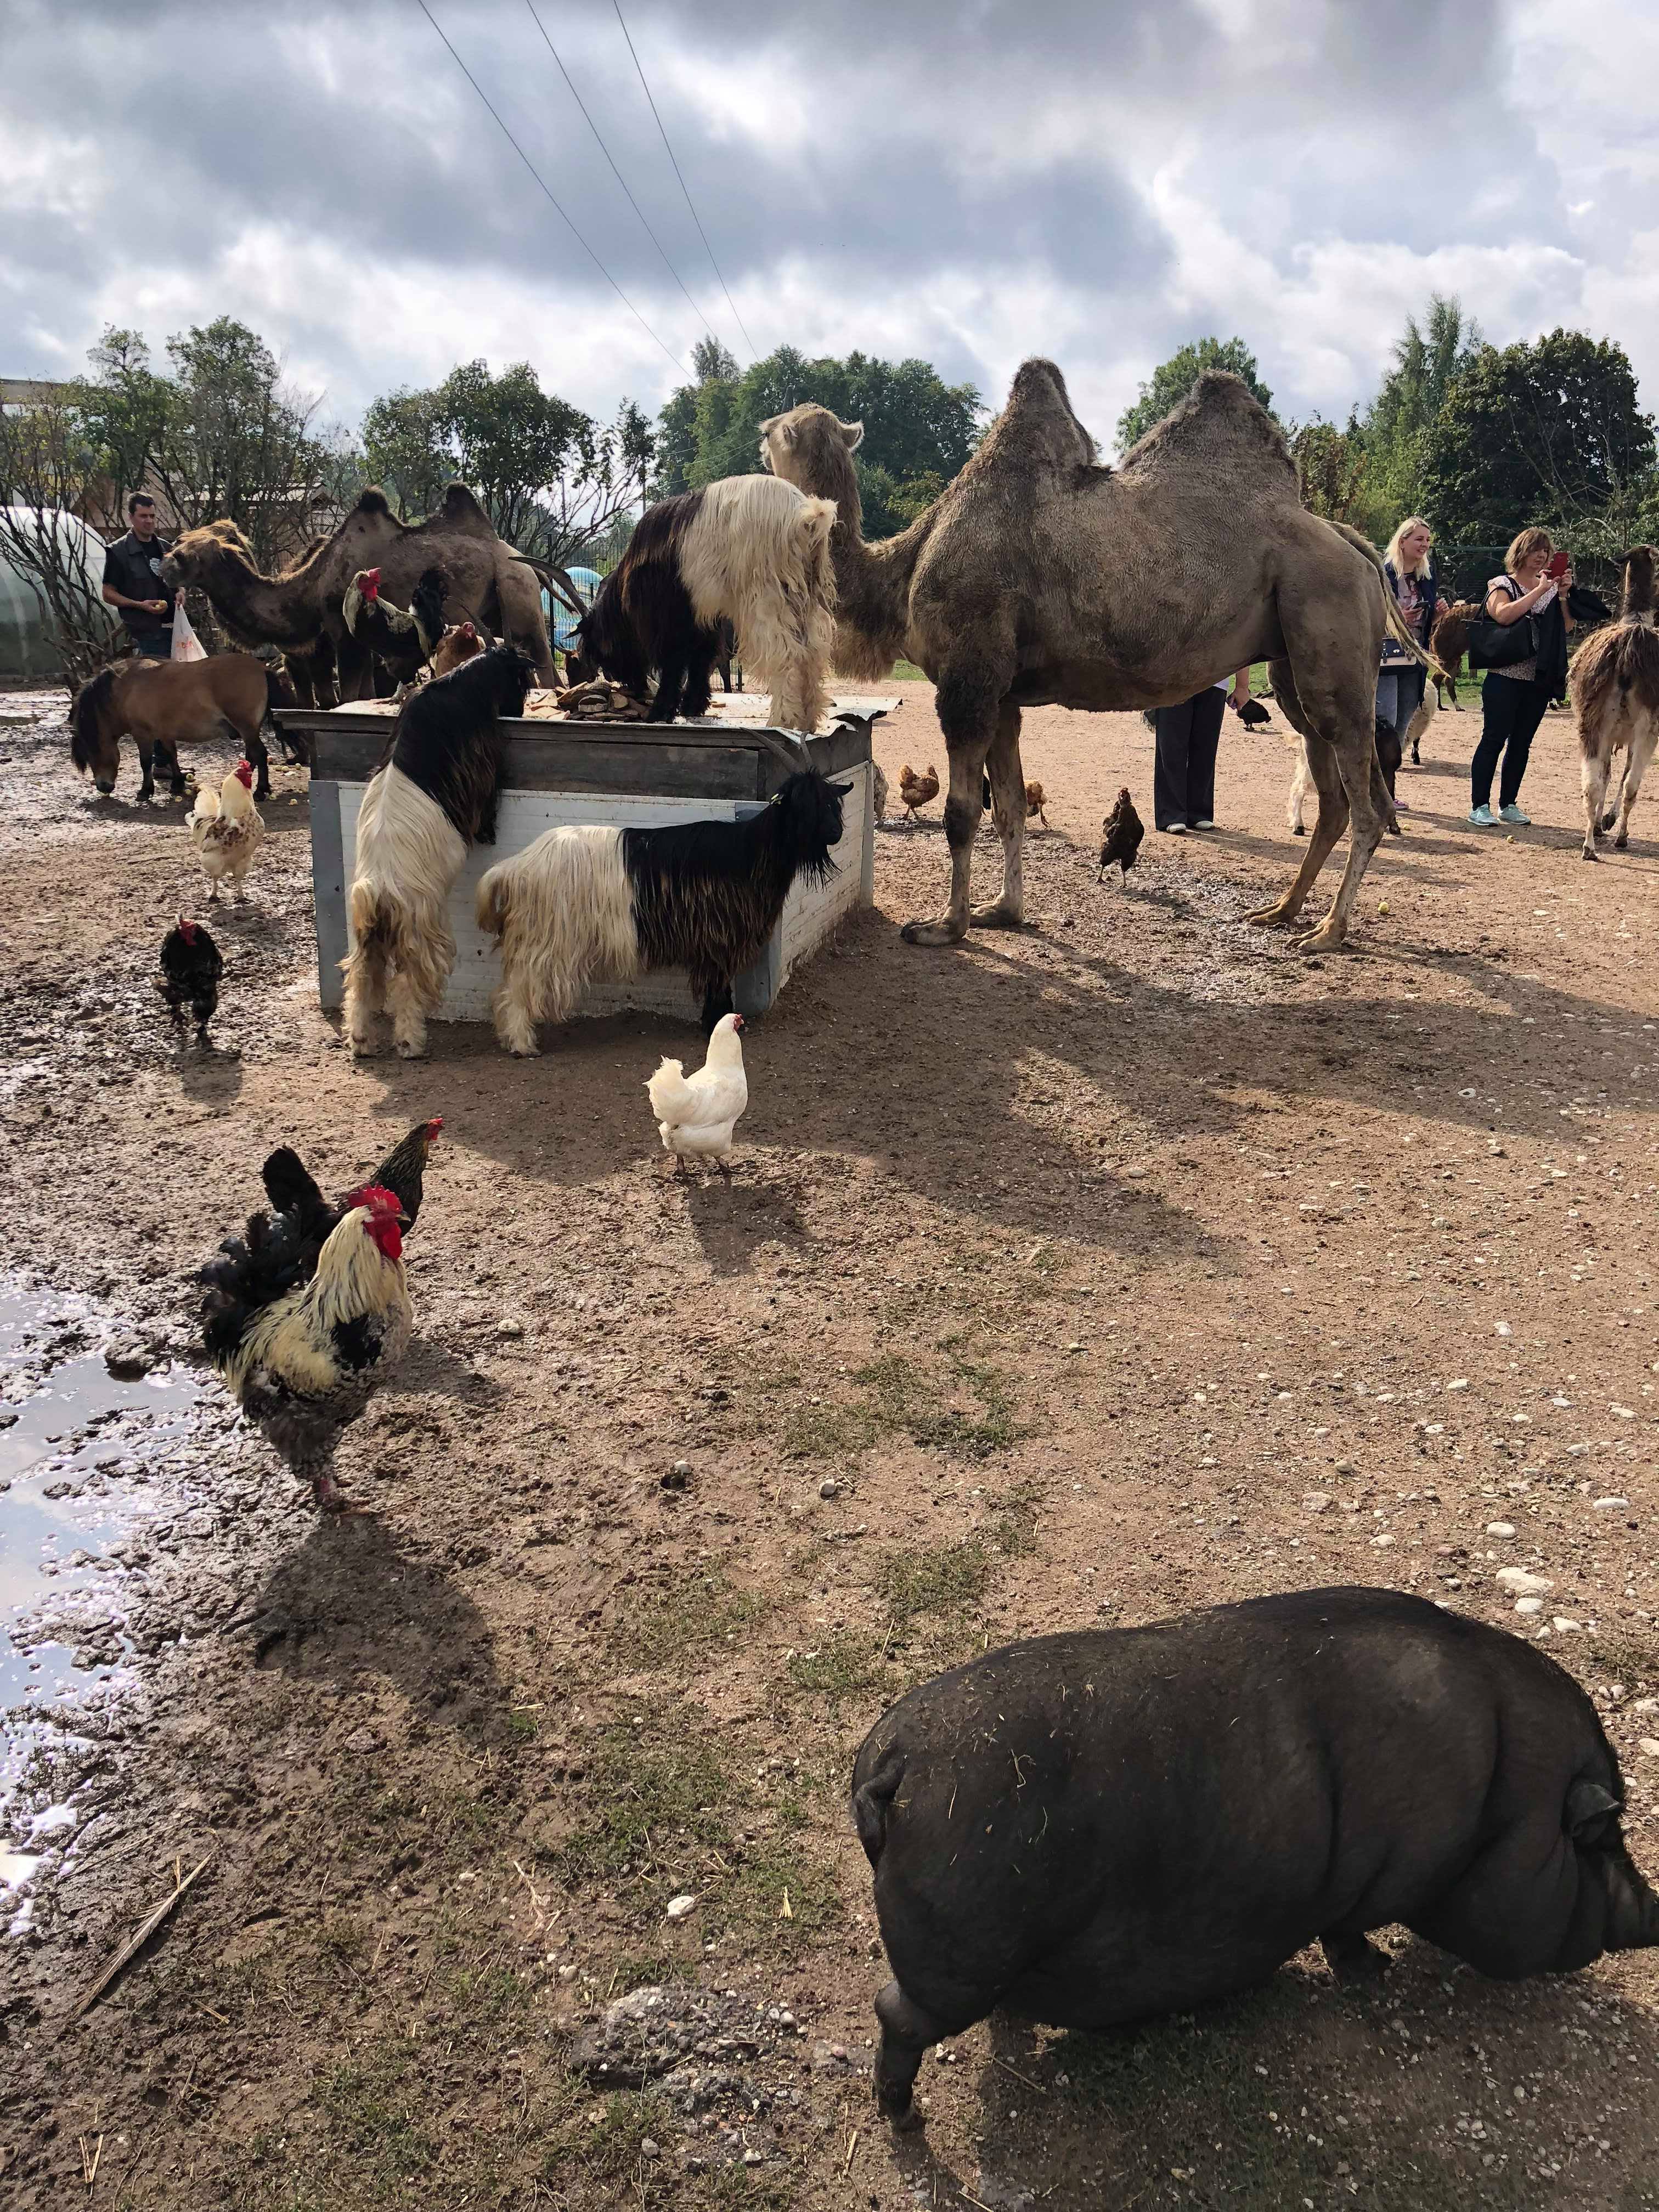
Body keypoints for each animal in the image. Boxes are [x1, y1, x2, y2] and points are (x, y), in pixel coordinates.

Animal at [69, 654, 281, 802]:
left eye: (92, 752)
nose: (103, 787)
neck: (126, 689)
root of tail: (261, 668)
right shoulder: (165, 733)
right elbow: (171, 756)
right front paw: (177, 783)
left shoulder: (142, 734)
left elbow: (145, 762)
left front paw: (145, 791)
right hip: (250, 730)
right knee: (251, 757)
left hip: (247, 728)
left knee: (260, 755)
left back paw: (261, 791)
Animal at [161, 484, 554, 701]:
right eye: (179, 542)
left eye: (186, 553)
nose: (164, 566)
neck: (313, 586)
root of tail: (520, 559)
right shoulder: (362, 644)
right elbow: (363, 693)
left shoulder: (343, 634)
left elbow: (346, 696)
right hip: (496, 611)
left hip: (517, 592)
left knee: (544, 661)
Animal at [761, 362, 1426, 952]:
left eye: (775, 431)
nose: (760, 430)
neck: (904, 566)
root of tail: (1356, 547)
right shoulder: (1004, 696)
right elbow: (1009, 808)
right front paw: (1002, 911)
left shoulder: (968, 681)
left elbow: (961, 812)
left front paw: (944, 927)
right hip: (1293, 668)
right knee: (1333, 794)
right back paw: (1281, 911)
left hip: (1332, 642)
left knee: (1366, 802)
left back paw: (1328, 932)